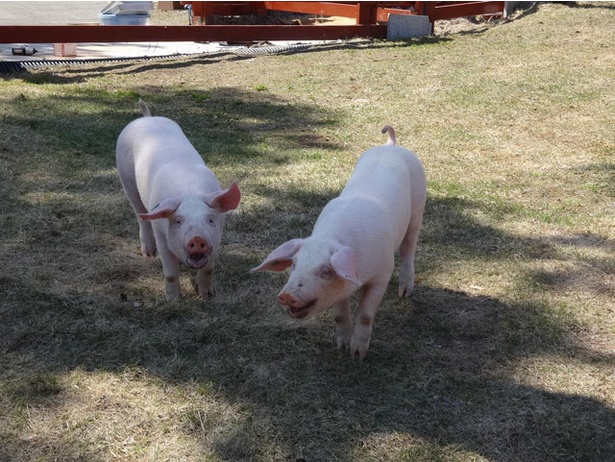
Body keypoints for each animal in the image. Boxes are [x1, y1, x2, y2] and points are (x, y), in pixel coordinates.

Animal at [116, 100, 242, 300]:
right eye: (178, 221)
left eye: (210, 219)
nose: (197, 238)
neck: (189, 192)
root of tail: (148, 117)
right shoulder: (161, 235)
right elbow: (170, 273)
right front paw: (173, 299)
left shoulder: (216, 236)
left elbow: (208, 270)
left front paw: (206, 296)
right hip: (126, 177)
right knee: (139, 213)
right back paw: (148, 254)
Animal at [253, 126, 426, 360]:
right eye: (295, 264)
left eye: (326, 271)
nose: (287, 295)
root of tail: (391, 144)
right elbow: (339, 314)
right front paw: (342, 348)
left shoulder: (382, 273)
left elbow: (366, 314)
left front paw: (357, 355)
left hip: (418, 208)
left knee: (409, 246)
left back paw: (405, 292)